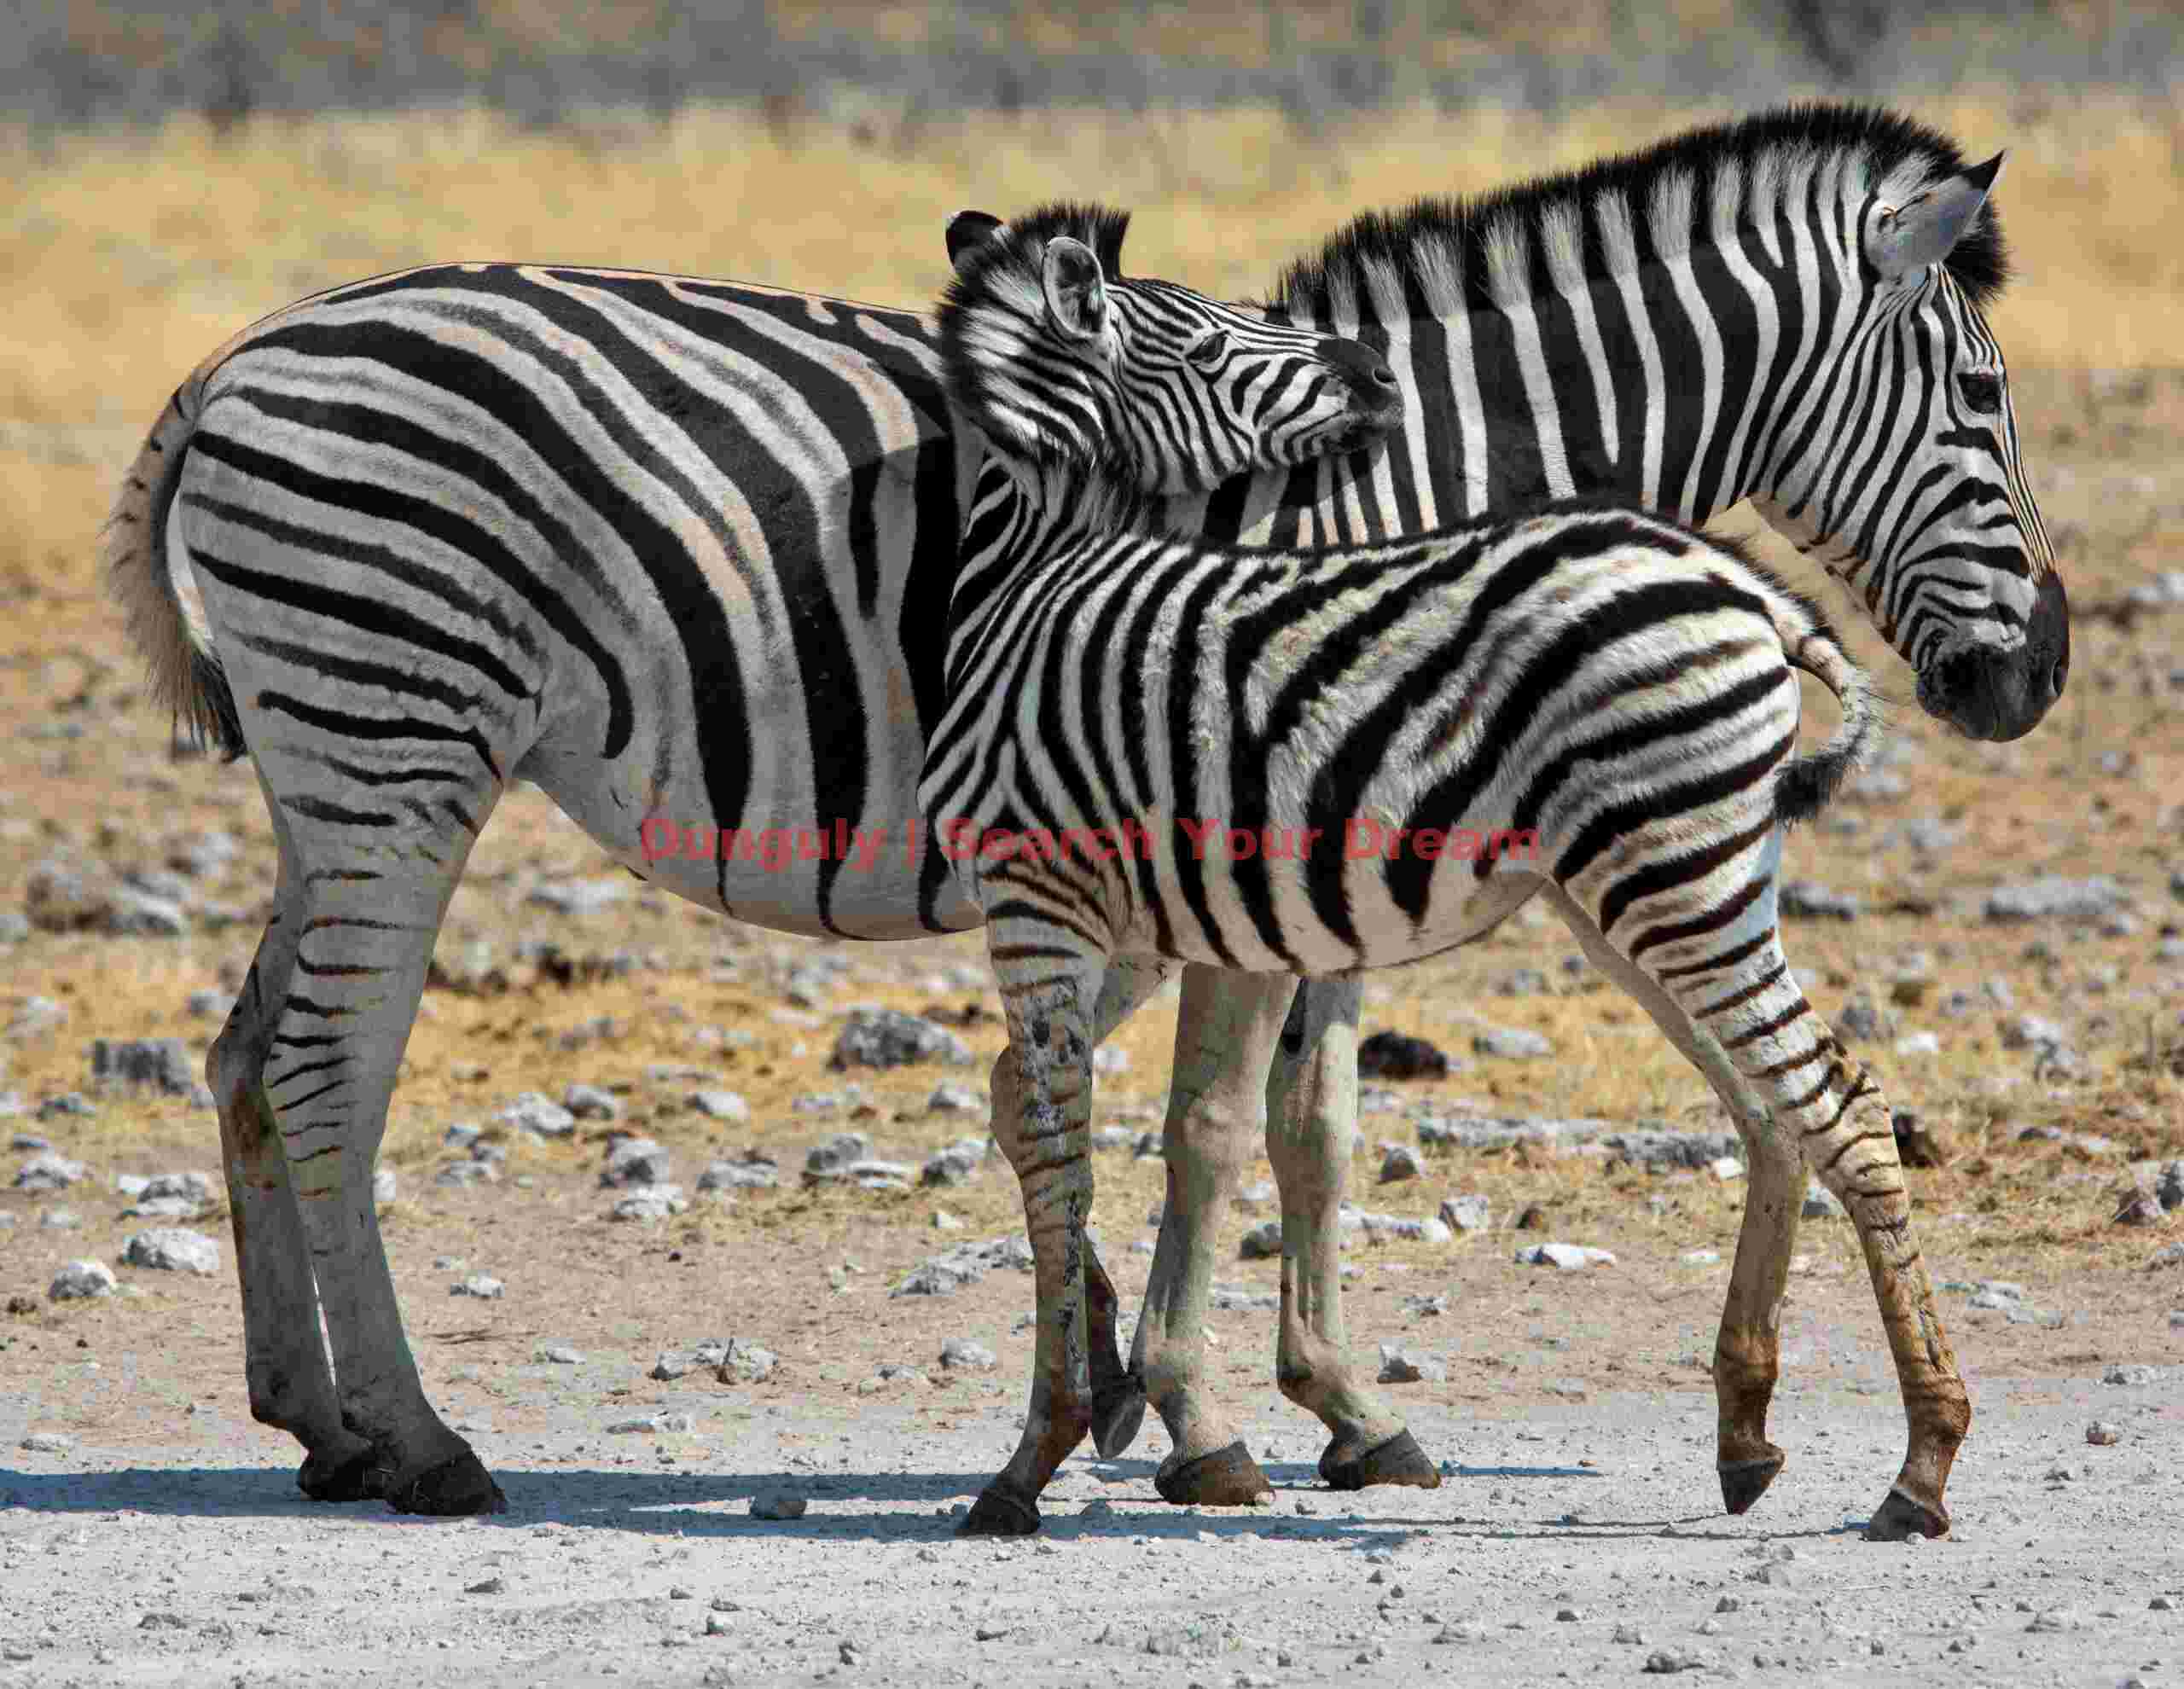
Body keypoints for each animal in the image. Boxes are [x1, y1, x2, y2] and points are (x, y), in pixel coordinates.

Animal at [103, 214, 1398, 1514]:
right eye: (1209, 339)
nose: (1373, 373)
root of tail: (231, 359)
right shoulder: (1240, 825)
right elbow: (1210, 1124)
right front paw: (1200, 1417)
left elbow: (1309, 1125)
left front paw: (1328, 1405)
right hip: (394, 732)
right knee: (326, 1066)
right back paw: (420, 1443)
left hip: (328, 771)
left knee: (249, 1053)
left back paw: (324, 1423)